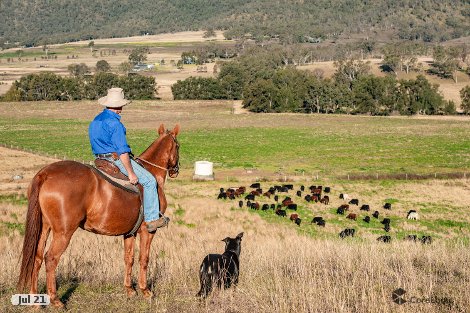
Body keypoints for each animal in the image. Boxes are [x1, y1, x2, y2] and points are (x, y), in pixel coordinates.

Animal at [18, 123, 180, 306]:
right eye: (178, 146)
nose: (175, 170)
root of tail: (45, 174)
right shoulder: (148, 230)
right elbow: (143, 259)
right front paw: (145, 291)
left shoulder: (129, 233)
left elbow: (129, 258)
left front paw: (130, 290)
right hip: (63, 232)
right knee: (51, 258)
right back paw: (55, 300)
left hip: (44, 228)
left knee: (37, 257)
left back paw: (36, 301)